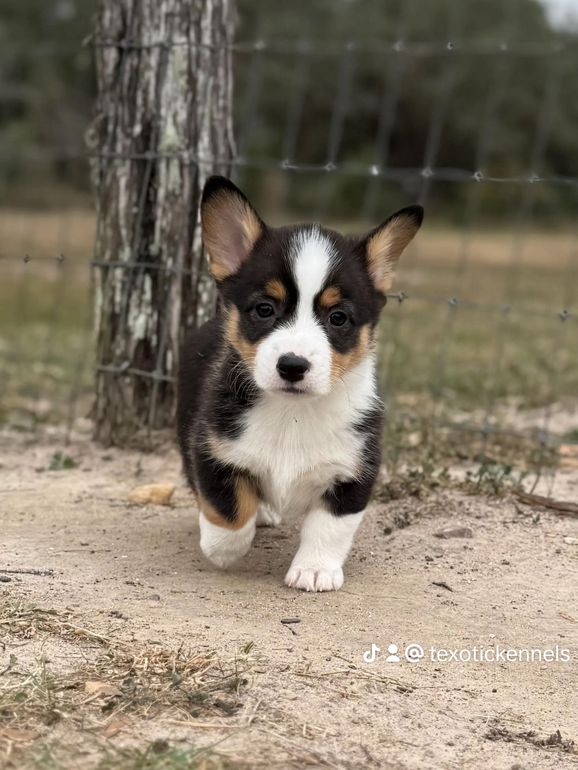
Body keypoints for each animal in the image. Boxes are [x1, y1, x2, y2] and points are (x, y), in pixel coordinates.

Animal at [178, 177, 420, 592]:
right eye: (264, 309)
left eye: (338, 317)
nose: (293, 365)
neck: (293, 413)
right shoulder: (211, 448)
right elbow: (227, 508)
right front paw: (221, 549)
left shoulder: (355, 470)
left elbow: (329, 527)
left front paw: (315, 570)